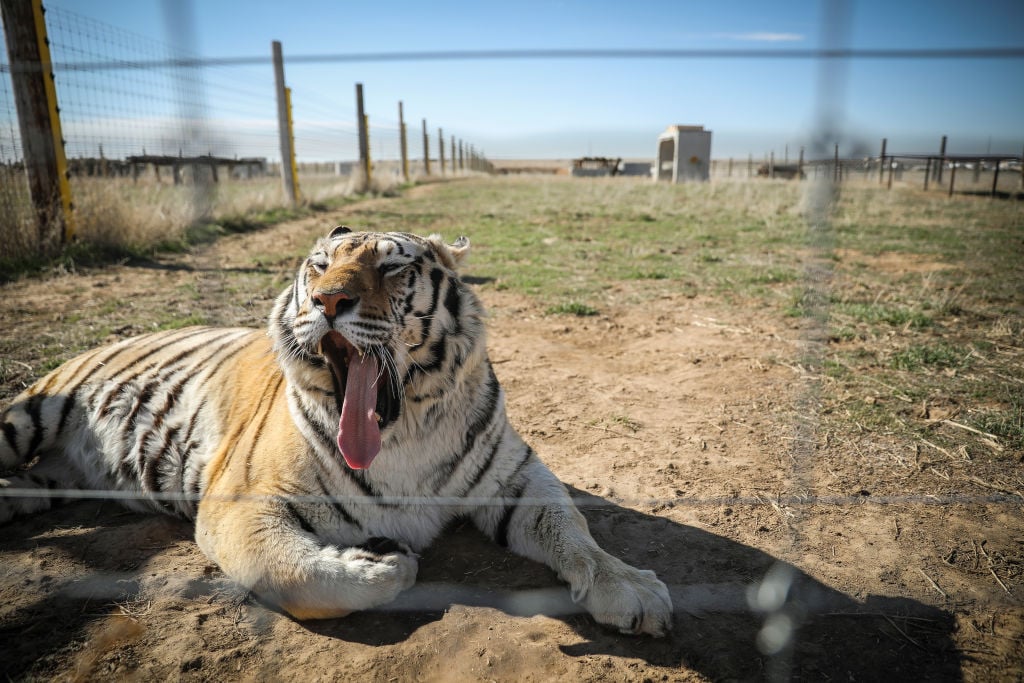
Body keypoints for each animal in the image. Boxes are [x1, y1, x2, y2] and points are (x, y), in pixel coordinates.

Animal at [0, 227, 675, 638]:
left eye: (392, 266)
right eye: (319, 267)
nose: (327, 301)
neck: (405, 432)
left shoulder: (515, 478)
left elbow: (573, 528)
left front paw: (630, 588)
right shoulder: (239, 502)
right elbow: (292, 571)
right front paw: (385, 564)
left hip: (51, 478)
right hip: (25, 417)